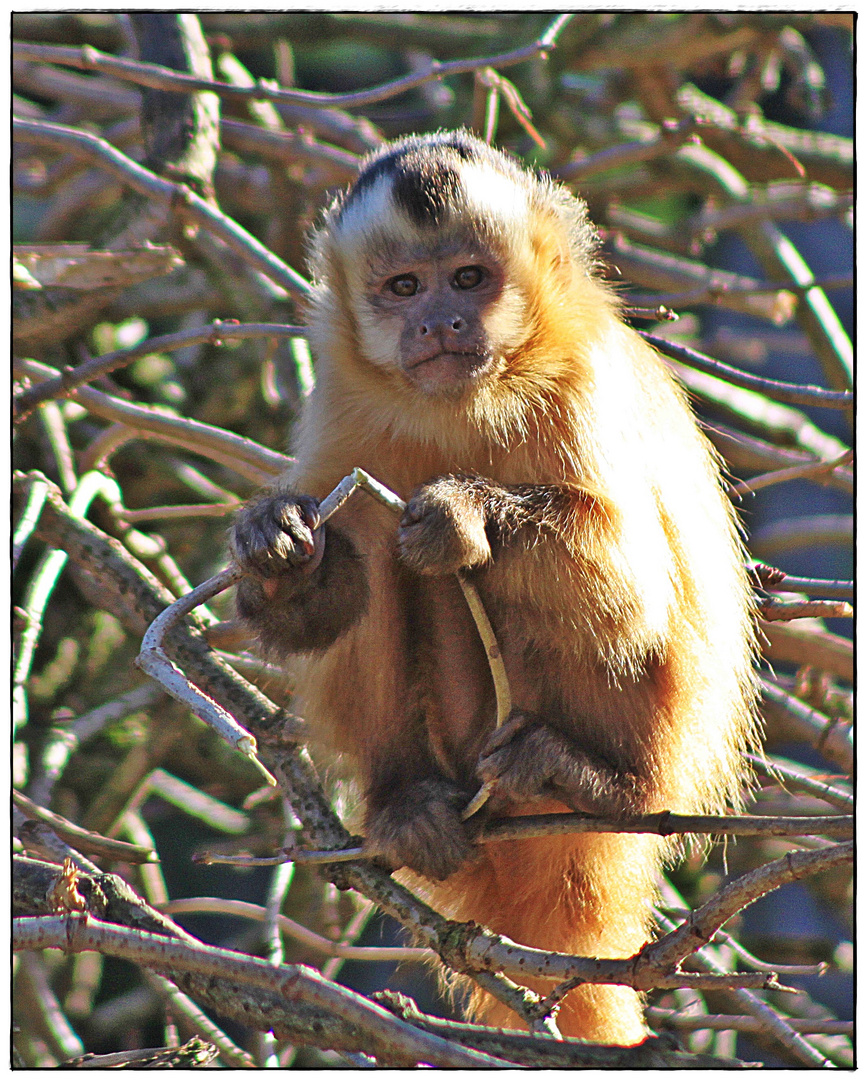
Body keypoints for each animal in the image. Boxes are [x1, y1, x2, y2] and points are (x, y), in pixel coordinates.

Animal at [232, 128, 760, 1045]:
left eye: (470, 278)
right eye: (405, 287)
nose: (440, 321)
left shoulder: (581, 378)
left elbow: (629, 585)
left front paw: (458, 519)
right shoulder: (344, 400)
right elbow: (330, 598)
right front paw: (277, 549)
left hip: (655, 743)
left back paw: (583, 779)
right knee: (382, 564)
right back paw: (407, 803)